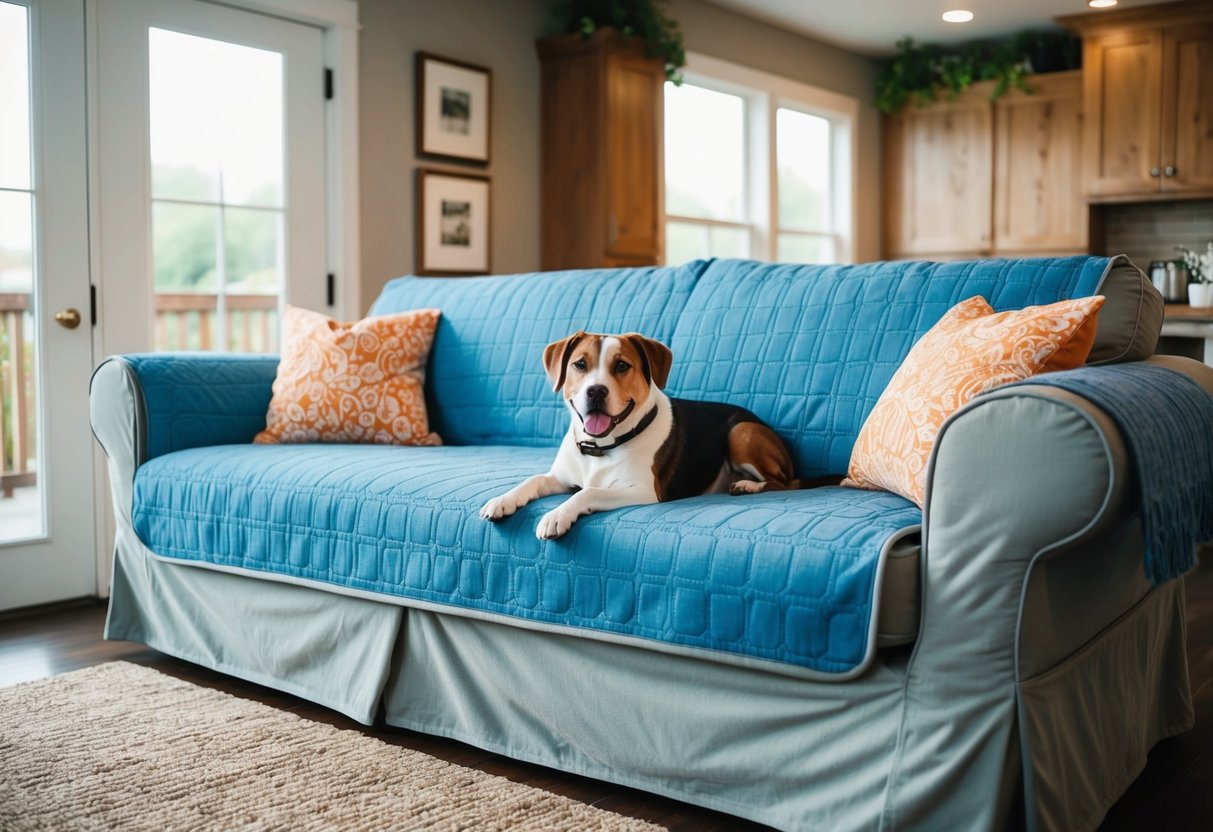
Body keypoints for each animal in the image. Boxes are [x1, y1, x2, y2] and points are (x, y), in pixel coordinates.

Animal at [477, 332, 800, 540]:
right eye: (580, 364)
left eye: (621, 365)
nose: (596, 391)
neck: (599, 448)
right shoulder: (560, 477)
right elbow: (532, 480)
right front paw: (503, 500)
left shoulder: (644, 491)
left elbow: (589, 492)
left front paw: (557, 515)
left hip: (740, 432)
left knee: (786, 483)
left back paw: (748, 486)